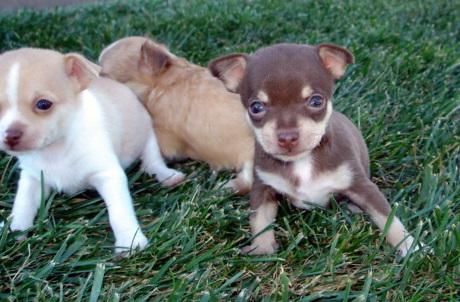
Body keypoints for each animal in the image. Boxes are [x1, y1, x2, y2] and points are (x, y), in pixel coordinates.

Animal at [0, 47, 183, 255]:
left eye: (43, 104)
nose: (10, 135)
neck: (54, 149)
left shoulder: (108, 174)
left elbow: (119, 210)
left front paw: (130, 241)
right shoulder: (33, 177)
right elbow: (23, 203)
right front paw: (14, 229)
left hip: (146, 135)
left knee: (152, 159)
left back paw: (166, 175)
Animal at [210, 43, 422, 256]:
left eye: (316, 101)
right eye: (256, 107)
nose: (287, 137)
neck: (302, 161)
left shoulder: (362, 186)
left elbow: (388, 216)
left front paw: (409, 245)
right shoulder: (263, 187)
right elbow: (259, 219)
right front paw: (262, 249)